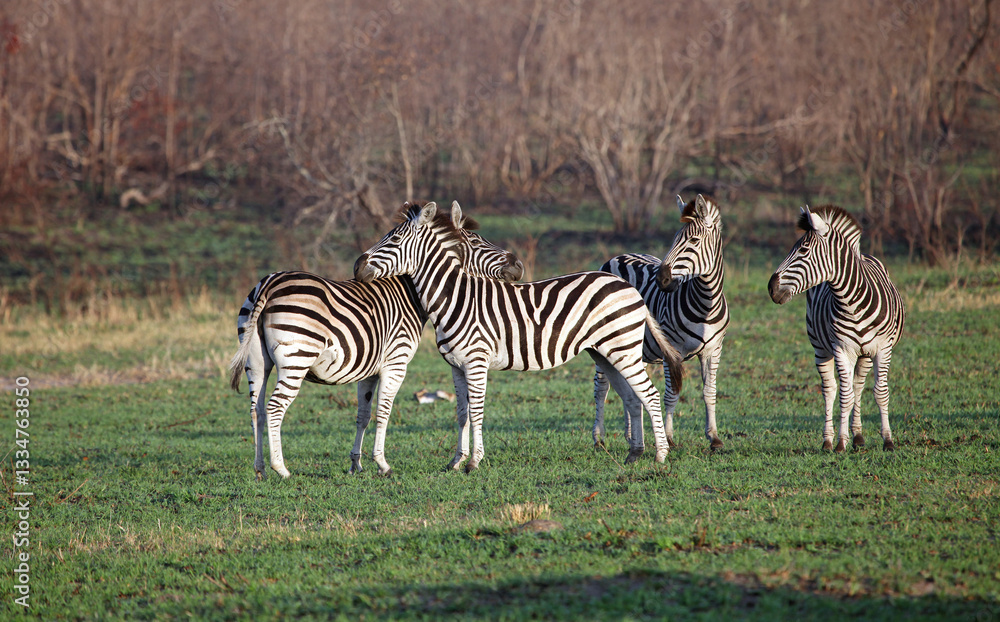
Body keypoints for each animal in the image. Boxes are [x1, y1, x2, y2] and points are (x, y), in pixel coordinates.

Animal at [228, 202, 522, 479]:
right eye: (476, 241)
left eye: (394, 238)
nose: (518, 266)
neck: (411, 295)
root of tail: (269, 283)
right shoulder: (396, 363)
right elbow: (384, 412)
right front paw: (382, 464)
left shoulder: (368, 371)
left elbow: (363, 415)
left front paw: (355, 465)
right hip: (296, 359)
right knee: (275, 408)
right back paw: (281, 469)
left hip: (257, 362)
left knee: (256, 410)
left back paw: (260, 469)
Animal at [354, 201, 685, 472]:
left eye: (394, 240)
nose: (358, 265)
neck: (456, 297)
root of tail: (628, 287)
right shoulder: (456, 367)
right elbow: (461, 413)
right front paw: (456, 460)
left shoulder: (476, 362)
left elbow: (477, 412)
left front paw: (474, 462)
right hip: (605, 352)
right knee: (632, 398)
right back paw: (634, 454)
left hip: (623, 348)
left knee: (649, 395)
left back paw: (660, 456)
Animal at [593, 194, 730, 451]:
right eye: (674, 239)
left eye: (694, 240)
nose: (661, 279)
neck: (706, 304)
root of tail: (616, 257)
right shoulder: (672, 349)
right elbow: (671, 394)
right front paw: (668, 437)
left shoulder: (714, 349)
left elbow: (710, 392)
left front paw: (714, 437)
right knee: (601, 387)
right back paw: (598, 438)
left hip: (631, 343)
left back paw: (631, 436)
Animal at [768, 205, 905, 452]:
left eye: (803, 250)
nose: (771, 288)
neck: (852, 302)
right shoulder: (842, 349)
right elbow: (844, 396)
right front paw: (841, 442)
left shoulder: (882, 348)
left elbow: (880, 393)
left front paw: (888, 441)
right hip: (820, 348)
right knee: (830, 389)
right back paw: (828, 440)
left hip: (865, 353)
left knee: (858, 385)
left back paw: (858, 436)